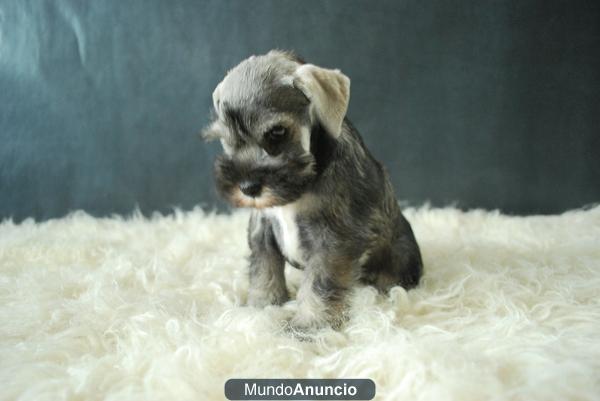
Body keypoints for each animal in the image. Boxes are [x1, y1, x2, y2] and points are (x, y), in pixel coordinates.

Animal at [204, 50, 424, 328]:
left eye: (277, 131)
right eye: (226, 139)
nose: (247, 187)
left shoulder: (332, 240)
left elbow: (320, 283)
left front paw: (310, 324)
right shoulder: (262, 229)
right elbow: (264, 270)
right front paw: (262, 307)